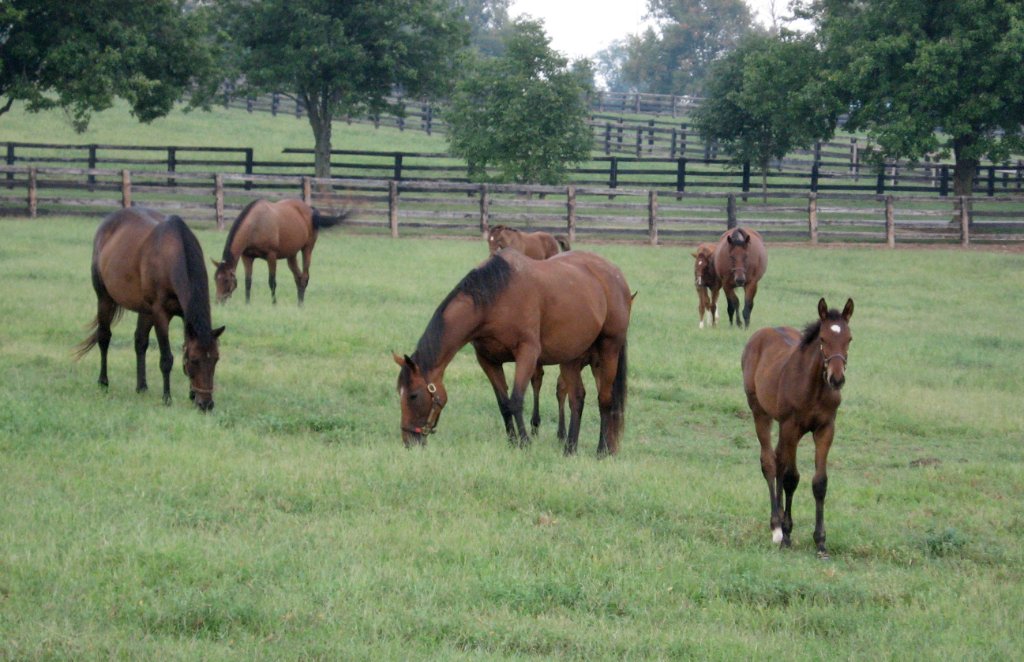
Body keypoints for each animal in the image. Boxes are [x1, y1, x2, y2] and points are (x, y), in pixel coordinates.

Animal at [76, 208, 225, 411]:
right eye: (195, 360)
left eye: (216, 359)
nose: (206, 404)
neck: (173, 255)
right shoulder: (160, 314)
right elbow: (167, 358)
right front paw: (167, 398)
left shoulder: (182, 315)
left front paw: (191, 394)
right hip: (104, 298)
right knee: (104, 337)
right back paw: (103, 382)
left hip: (145, 311)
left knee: (140, 342)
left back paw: (142, 386)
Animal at [212, 198, 350, 305]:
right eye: (215, 278)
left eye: (226, 280)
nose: (218, 301)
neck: (256, 225)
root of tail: (311, 211)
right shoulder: (247, 257)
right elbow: (248, 282)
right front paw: (247, 304)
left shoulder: (271, 256)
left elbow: (272, 282)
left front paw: (274, 303)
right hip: (291, 255)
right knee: (298, 278)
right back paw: (299, 303)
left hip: (307, 248)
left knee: (305, 276)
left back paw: (301, 304)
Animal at [393, 248, 631, 456]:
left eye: (413, 395)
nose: (408, 441)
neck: (496, 297)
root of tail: (616, 275)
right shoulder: (488, 360)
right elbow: (503, 403)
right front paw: (512, 441)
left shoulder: (527, 354)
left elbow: (516, 400)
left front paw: (524, 442)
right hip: (572, 358)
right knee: (577, 399)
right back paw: (570, 448)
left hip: (608, 350)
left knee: (605, 399)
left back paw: (603, 450)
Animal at [741, 297, 854, 558]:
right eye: (822, 338)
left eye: (849, 339)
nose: (836, 379)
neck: (814, 387)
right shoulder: (791, 427)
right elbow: (791, 478)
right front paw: (787, 536)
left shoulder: (826, 429)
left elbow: (819, 482)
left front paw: (820, 542)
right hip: (760, 413)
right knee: (770, 463)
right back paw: (776, 527)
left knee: (778, 459)